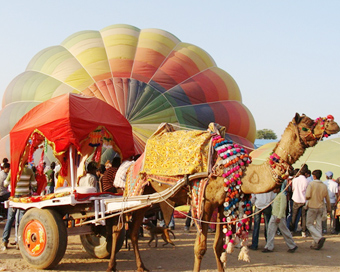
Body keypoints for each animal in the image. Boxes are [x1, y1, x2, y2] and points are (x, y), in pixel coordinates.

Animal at [105, 112, 338, 272]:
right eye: (307, 126)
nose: (333, 123)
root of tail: (131, 165)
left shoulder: (221, 205)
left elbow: (218, 247)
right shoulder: (204, 202)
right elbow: (200, 248)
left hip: (150, 200)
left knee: (133, 230)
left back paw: (141, 266)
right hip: (134, 189)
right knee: (118, 227)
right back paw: (111, 266)